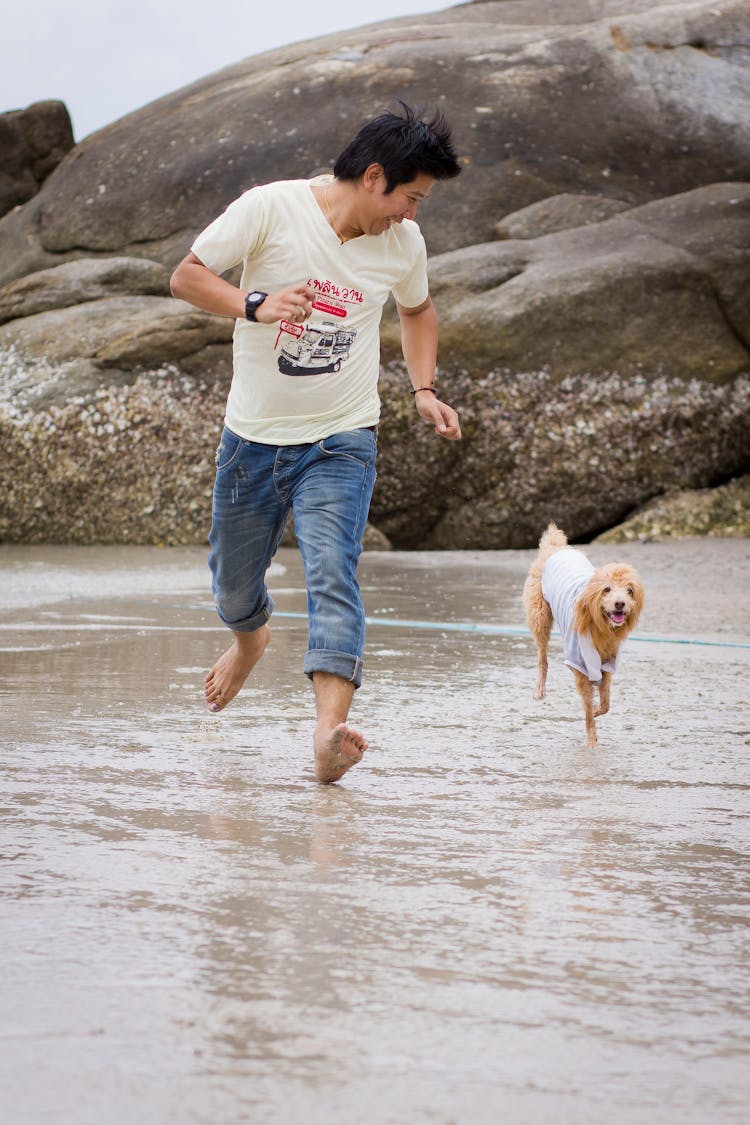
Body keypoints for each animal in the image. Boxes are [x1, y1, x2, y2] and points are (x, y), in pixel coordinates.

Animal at [521, 522, 647, 751]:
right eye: (607, 589)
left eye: (629, 591)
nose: (620, 604)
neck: (600, 626)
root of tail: (556, 548)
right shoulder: (580, 665)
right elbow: (588, 709)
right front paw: (591, 740)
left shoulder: (607, 663)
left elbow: (605, 704)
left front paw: (597, 711)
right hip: (539, 616)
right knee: (542, 658)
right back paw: (539, 688)